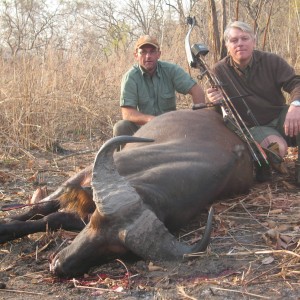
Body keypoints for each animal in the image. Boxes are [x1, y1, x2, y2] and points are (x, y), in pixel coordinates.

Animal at [0, 108, 253, 276]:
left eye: (114, 251)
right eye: (93, 223)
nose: (58, 266)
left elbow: (53, 218)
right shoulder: (81, 177)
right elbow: (42, 209)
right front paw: (7, 226)